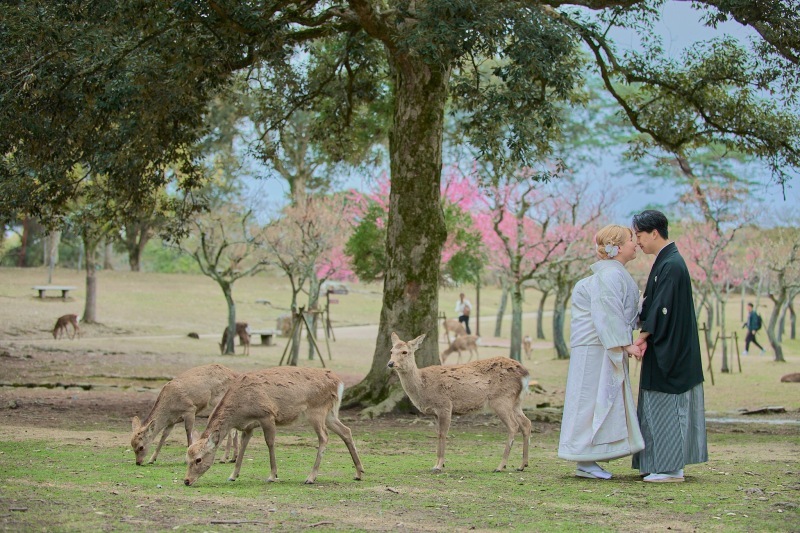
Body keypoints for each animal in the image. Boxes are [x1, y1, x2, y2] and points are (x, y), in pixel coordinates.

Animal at [184, 366, 365, 486]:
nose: (186, 480)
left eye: (198, 459)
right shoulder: (248, 427)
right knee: (346, 431)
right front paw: (233, 475)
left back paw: (311, 477)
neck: (240, 411)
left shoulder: (267, 415)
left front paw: (272, 475)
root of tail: (339, 383)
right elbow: (243, 446)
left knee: (324, 437)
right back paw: (359, 473)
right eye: (187, 458)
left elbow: (270, 443)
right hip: (330, 414)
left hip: (317, 411)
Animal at [388, 332, 532, 473]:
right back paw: (522, 465)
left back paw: (500, 466)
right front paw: (436, 464)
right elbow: (438, 433)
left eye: (405, 352)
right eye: (391, 351)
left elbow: (443, 434)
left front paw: (439, 465)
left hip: (502, 399)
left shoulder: (445, 405)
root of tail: (525, 373)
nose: (390, 363)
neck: (423, 386)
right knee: (526, 423)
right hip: (516, 402)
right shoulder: (435, 413)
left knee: (513, 426)